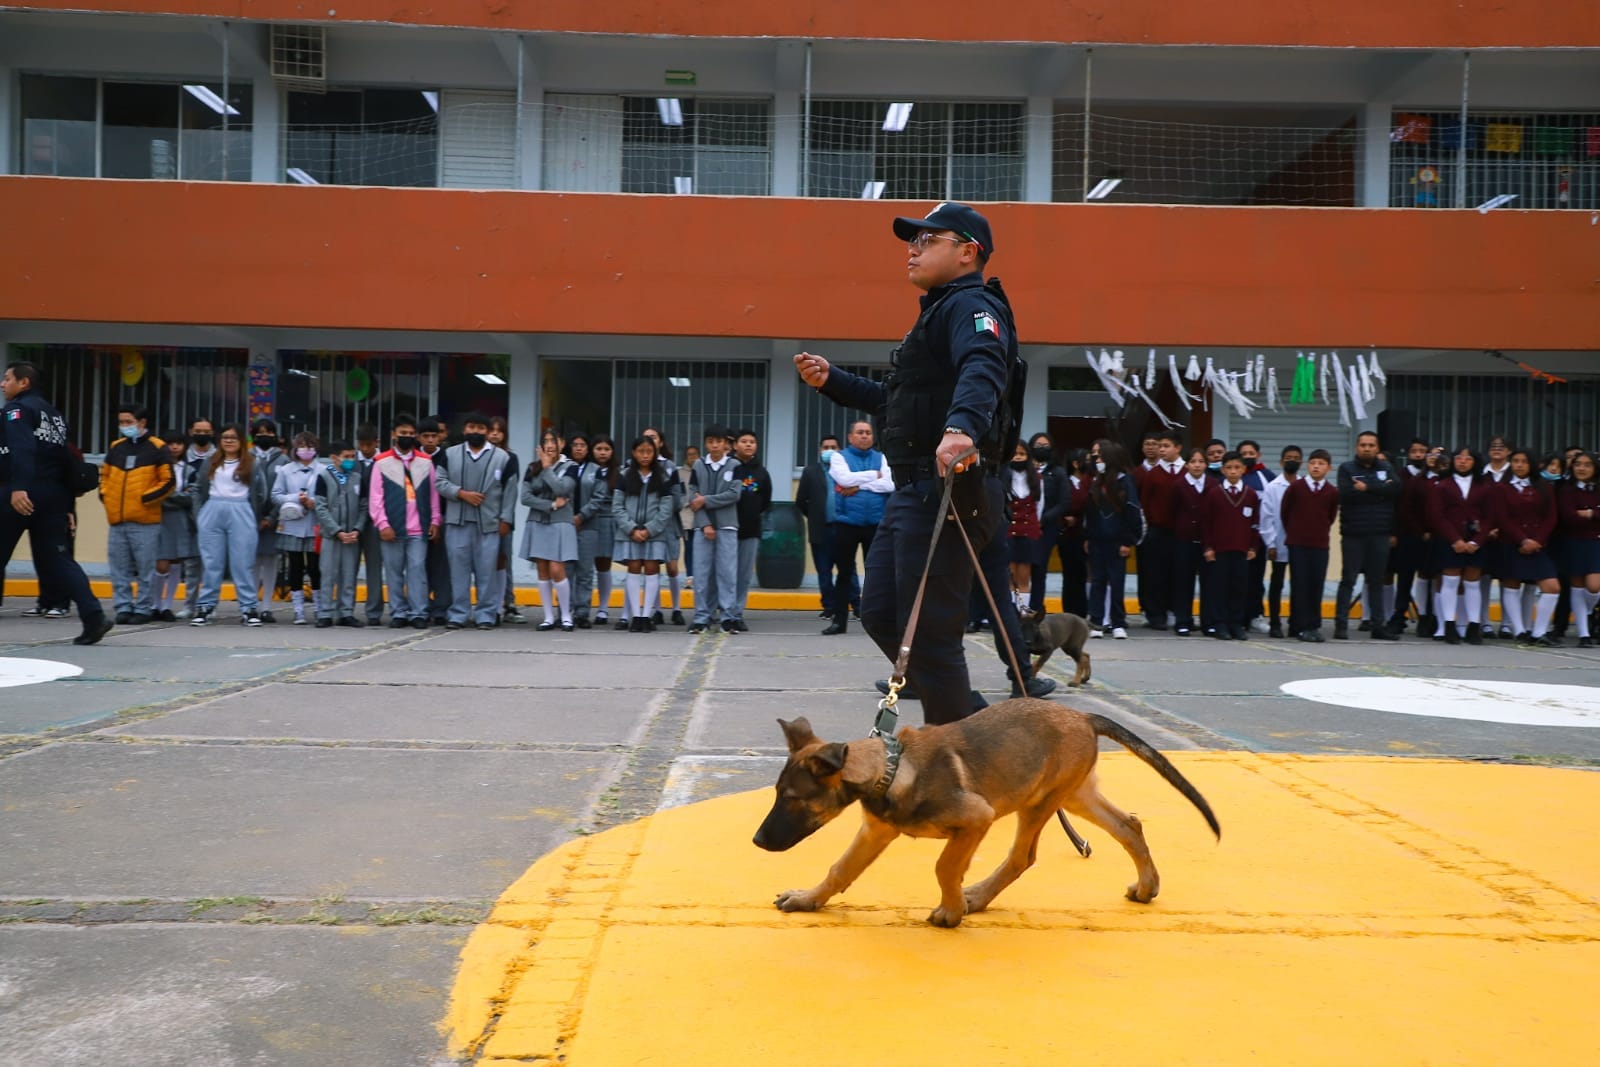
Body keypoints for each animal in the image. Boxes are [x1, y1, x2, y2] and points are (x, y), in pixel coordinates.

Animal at [755, 700, 1216, 927]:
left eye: (793, 799)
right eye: (776, 793)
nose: (757, 842)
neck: (891, 767)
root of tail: (1083, 715)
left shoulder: (977, 818)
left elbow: (944, 867)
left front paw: (952, 909)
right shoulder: (875, 832)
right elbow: (840, 870)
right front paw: (808, 899)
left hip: (1039, 803)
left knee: (1021, 857)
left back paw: (975, 897)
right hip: (1072, 795)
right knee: (1128, 825)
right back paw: (1147, 886)